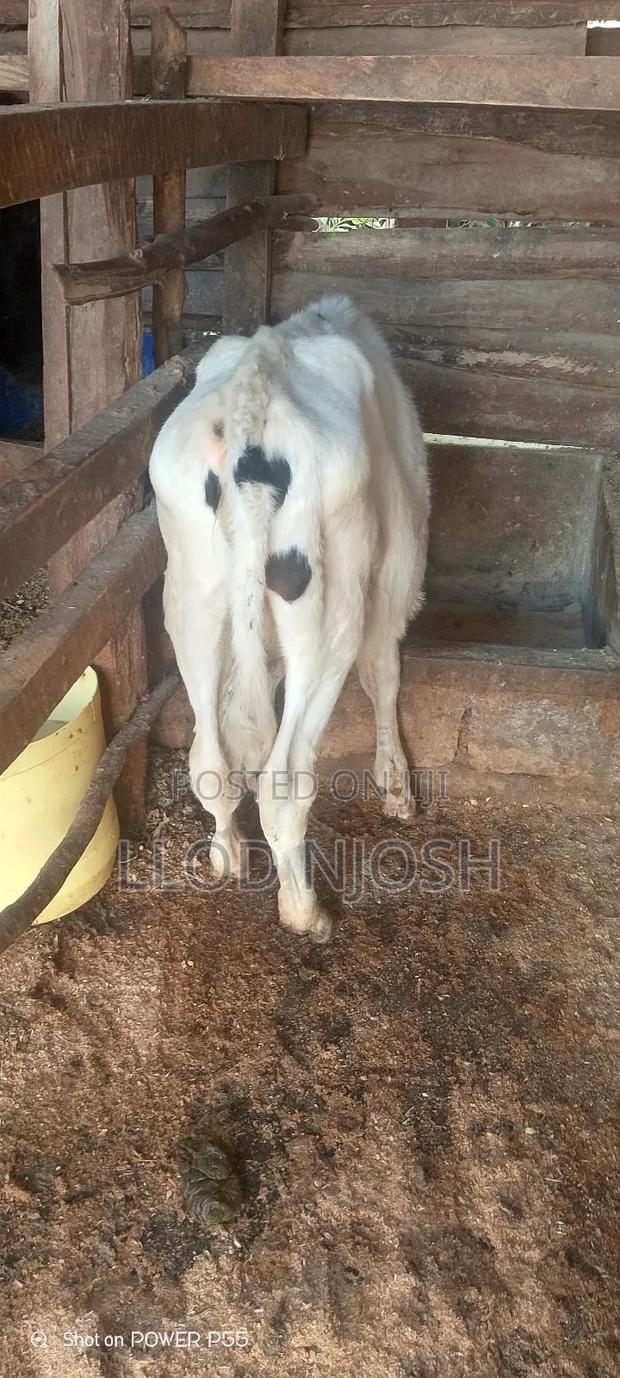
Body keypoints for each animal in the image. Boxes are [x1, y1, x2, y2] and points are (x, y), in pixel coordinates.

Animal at [149, 296, 429, 942]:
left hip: (190, 598)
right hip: (331, 618)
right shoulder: (396, 573)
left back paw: (229, 857)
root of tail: (255, 390)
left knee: (210, 759)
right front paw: (396, 784)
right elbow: (385, 674)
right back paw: (306, 912)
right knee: (285, 778)